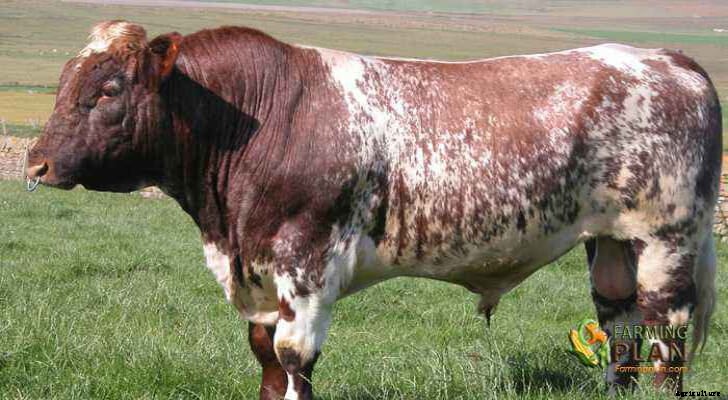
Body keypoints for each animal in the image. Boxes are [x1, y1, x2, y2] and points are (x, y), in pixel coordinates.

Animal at [27, 20, 720, 399]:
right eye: (64, 83)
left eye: (108, 89)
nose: (35, 164)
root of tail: (667, 58)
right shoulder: (258, 273)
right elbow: (263, 358)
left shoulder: (307, 263)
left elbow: (292, 360)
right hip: (611, 241)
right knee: (620, 329)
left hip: (668, 238)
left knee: (666, 338)